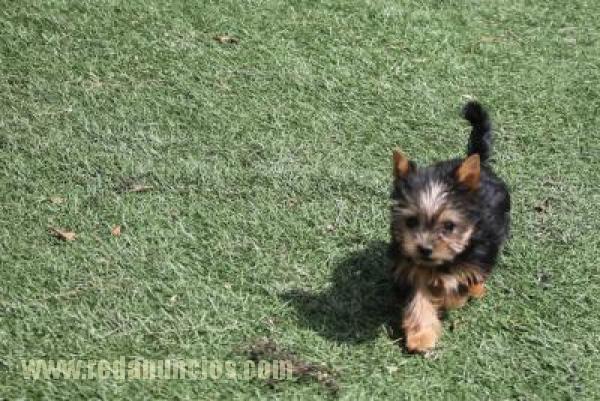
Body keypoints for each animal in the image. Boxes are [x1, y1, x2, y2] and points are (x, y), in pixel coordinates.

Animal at [389, 101, 510, 353]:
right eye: (411, 222)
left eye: (449, 226)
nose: (425, 249)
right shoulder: (413, 267)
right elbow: (419, 298)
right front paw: (421, 336)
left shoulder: (474, 255)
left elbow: (456, 286)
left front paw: (450, 297)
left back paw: (477, 288)